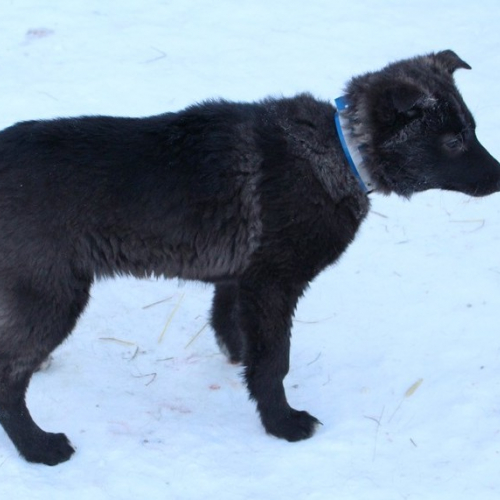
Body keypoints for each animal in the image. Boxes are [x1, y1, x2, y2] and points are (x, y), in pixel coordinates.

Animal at [0, 49, 500, 464]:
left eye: (472, 130)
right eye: (453, 141)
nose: (499, 177)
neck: (343, 150)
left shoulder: (241, 278)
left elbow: (232, 325)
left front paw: (240, 361)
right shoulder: (273, 283)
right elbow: (276, 358)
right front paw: (282, 422)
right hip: (53, 294)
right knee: (9, 376)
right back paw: (38, 447)